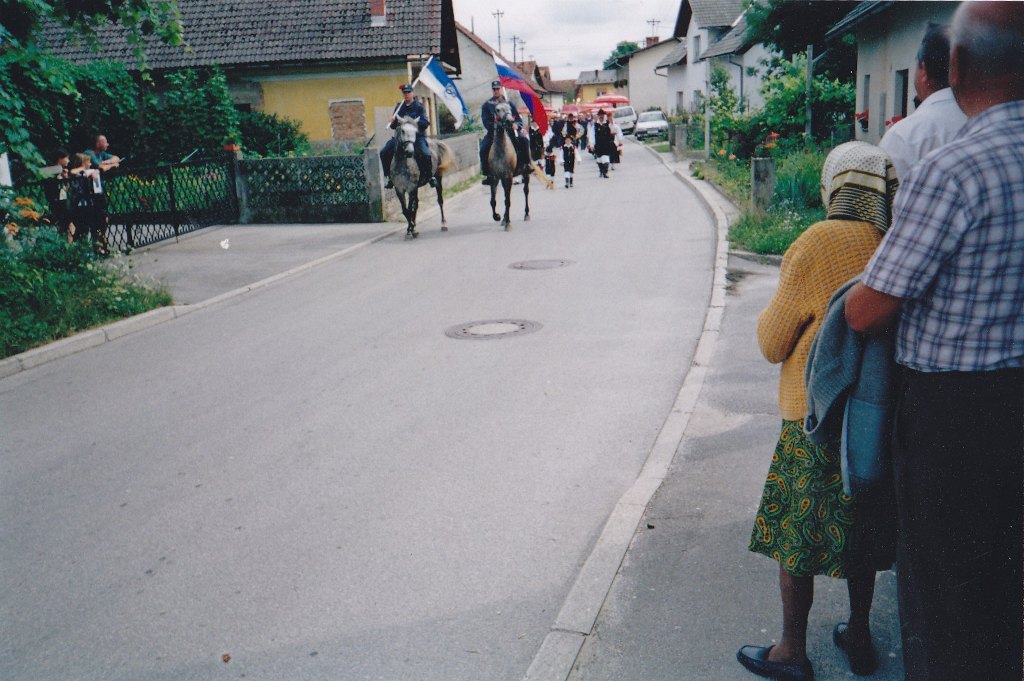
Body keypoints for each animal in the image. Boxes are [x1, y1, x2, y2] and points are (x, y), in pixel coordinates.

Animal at [487, 99, 536, 229]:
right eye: (498, 109)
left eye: (509, 108)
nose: (510, 121)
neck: (500, 150)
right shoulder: (495, 178)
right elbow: (493, 201)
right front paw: (497, 217)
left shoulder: (508, 177)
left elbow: (507, 201)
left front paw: (507, 223)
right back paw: (504, 218)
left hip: (525, 174)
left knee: (525, 191)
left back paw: (526, 214)